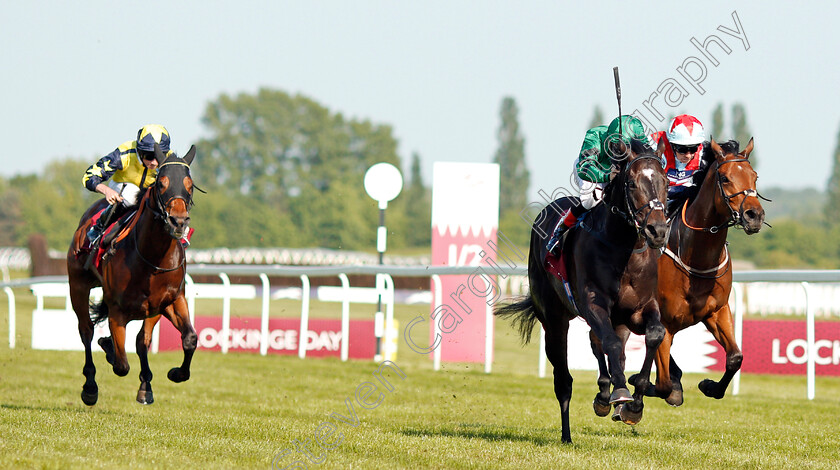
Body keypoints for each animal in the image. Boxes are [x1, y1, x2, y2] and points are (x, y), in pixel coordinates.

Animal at [66, 143, 199, 404]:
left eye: (189, 185)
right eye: (161, 183)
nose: (178, 222)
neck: (151, 259)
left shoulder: (169, 301)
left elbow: (187, 339)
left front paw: (174, 374)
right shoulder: (117, 310)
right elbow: (121, 364)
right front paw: (108, 348)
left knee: (141, 341)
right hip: (77, 286)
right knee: (86, 331)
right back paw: (90, 387)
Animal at [496, 140, 668, 444]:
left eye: (666, 182)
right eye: (632, 184)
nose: (657, 230)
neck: (623, 247)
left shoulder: (639, 308)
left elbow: (653, 335)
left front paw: (634, 404)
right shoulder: (593, 304)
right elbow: (610, 344)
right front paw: (620, 392)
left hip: (615, 319)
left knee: (600, 344)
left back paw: (604, 396)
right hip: (554, 321)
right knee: (563, 379)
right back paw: (568, 434)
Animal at [632, 136, 768, 404]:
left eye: (755, 176)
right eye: (725, 178)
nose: (754, 215)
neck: (697, 259)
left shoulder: (717, 311)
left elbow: (735, 357)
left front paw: (710, 386)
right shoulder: (665, 322)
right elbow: (663, 385)